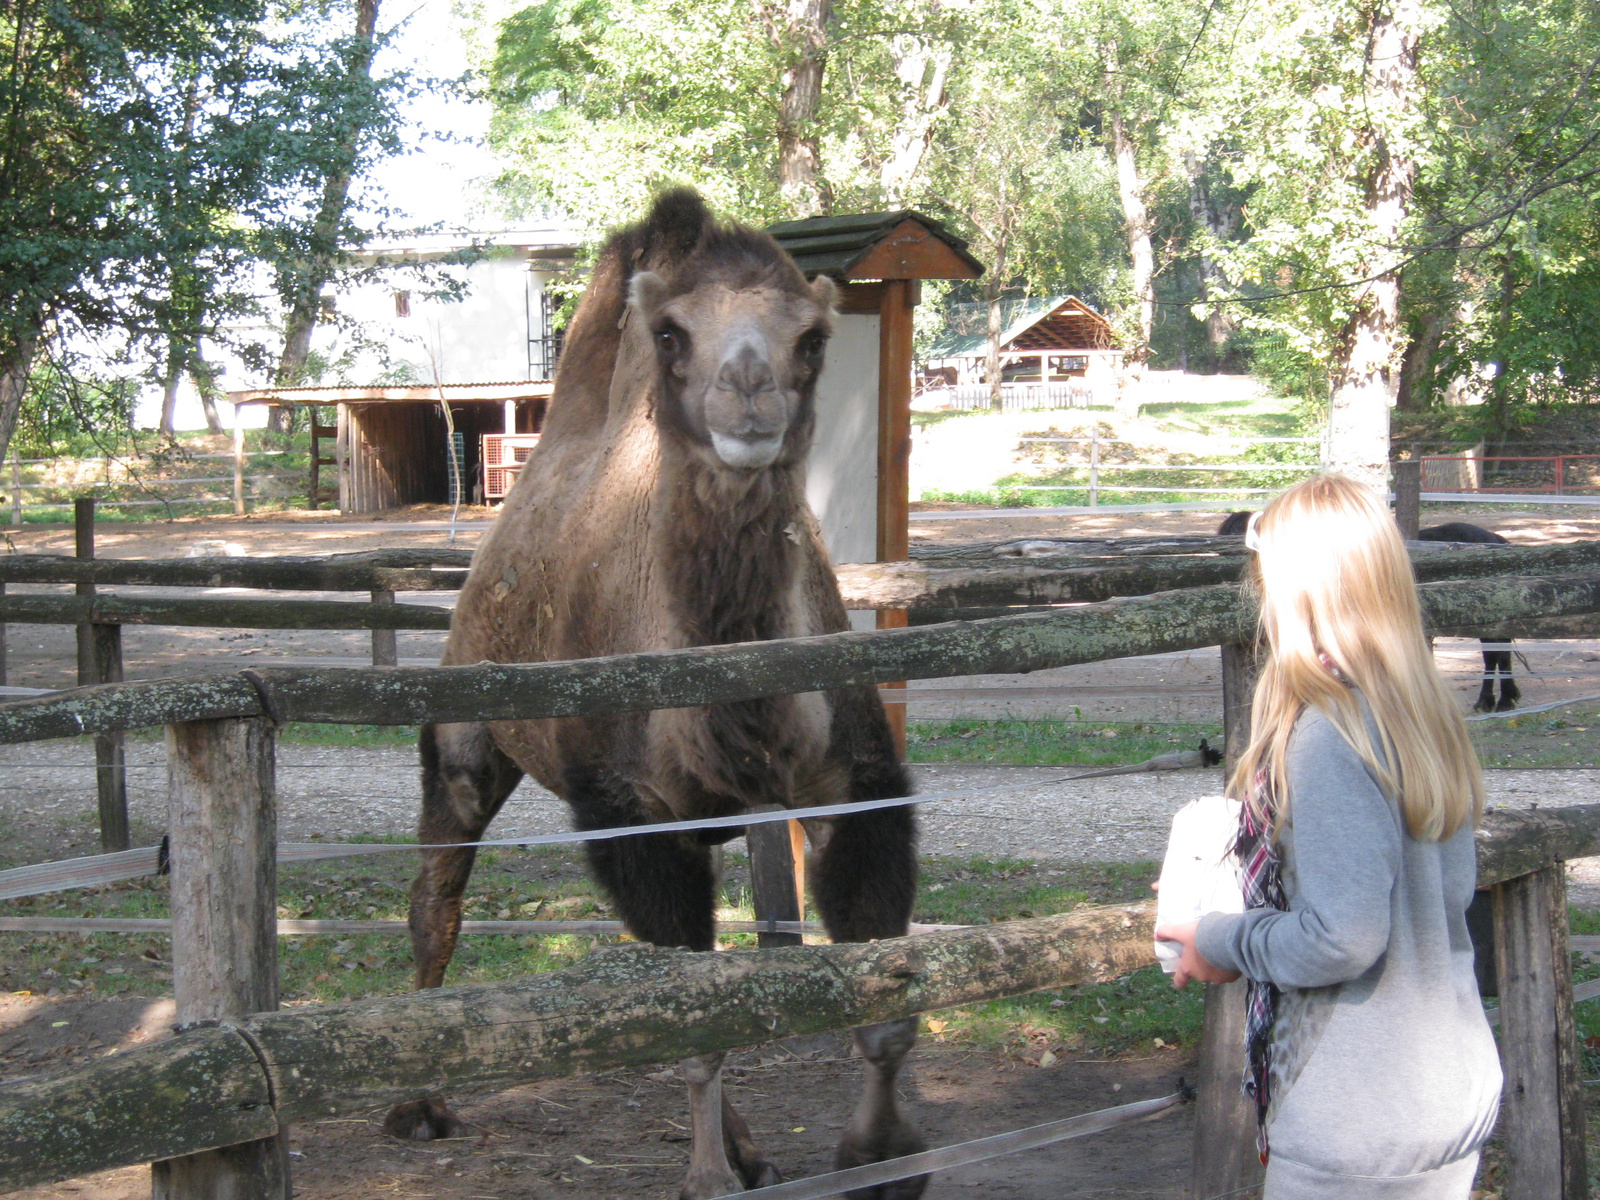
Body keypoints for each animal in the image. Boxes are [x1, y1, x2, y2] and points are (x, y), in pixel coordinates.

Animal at [385, 190, 928, 1200]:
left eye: (811, 340)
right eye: (673, 334)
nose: (749, 392)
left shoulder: (851, 781)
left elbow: (883, 1000)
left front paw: (881, 1158)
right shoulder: (633, 809)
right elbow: (696, 1023)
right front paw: (708, 1178)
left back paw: (751, 1148)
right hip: (467, 730)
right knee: (436, 903)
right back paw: (419, 1104)